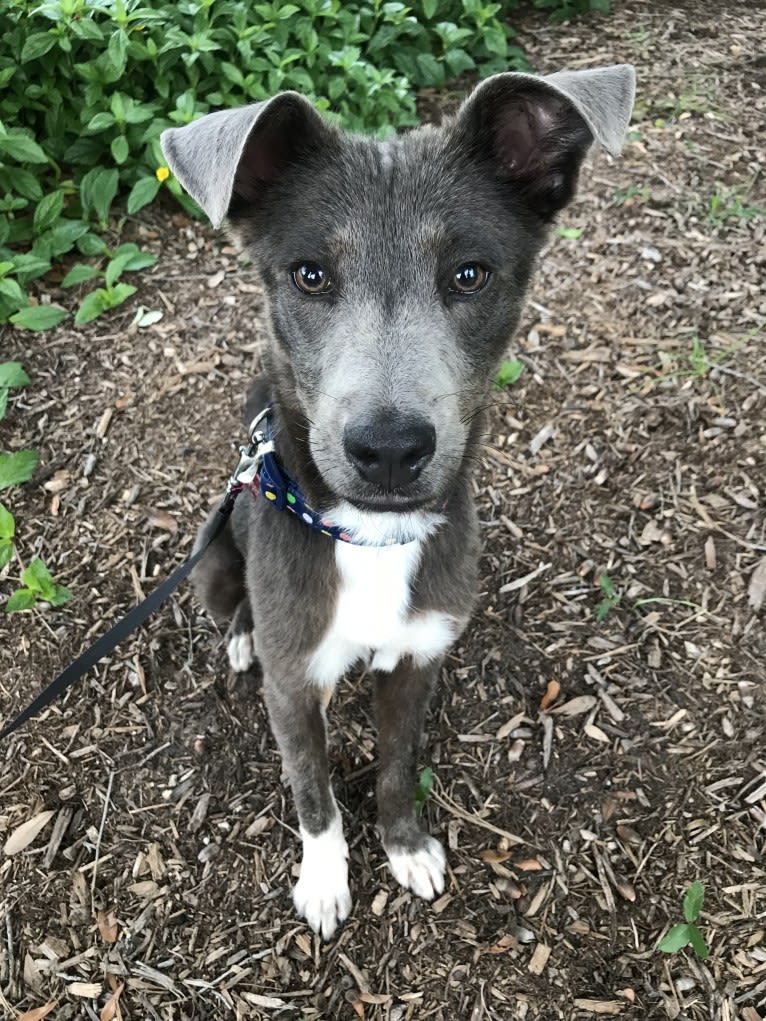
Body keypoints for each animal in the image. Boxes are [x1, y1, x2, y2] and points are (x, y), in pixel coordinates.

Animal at [160, 63, 637, 935]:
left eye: (470, 273)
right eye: (310, 274)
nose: (387, 448)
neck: (371, 537)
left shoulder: (418, 660)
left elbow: (394, 765)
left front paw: (405, 846)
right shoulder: (293, 684)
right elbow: (313, 793)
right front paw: (323, 879)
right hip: (211, 559)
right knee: (232, 607)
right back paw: (240, 638)